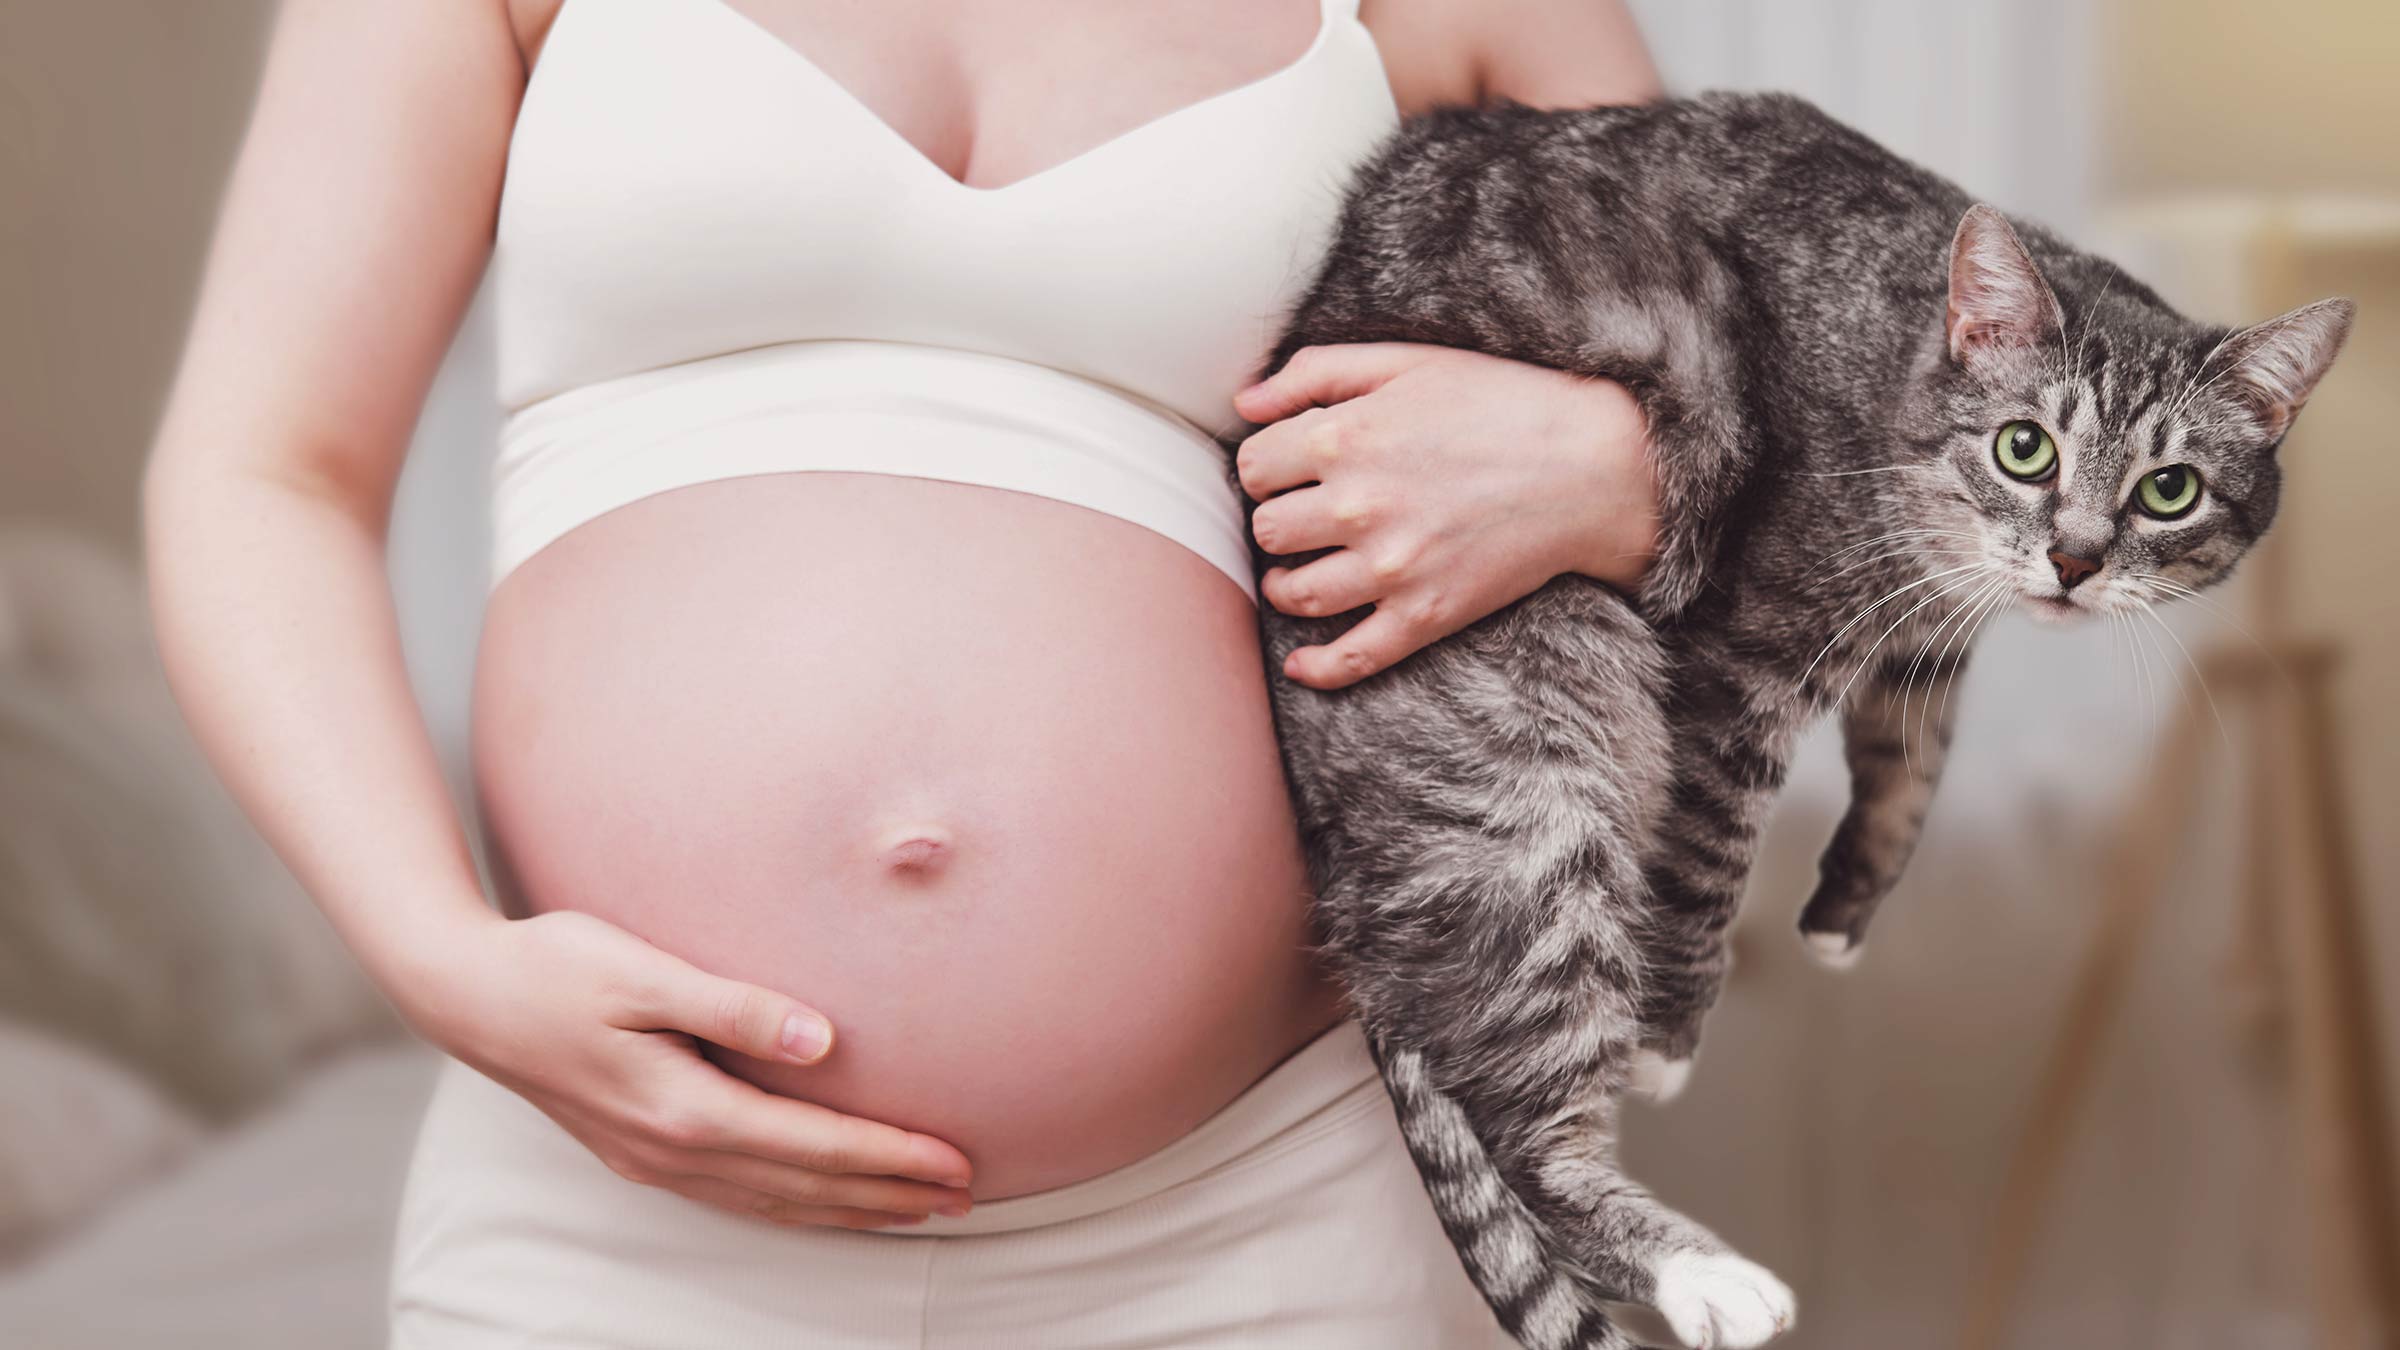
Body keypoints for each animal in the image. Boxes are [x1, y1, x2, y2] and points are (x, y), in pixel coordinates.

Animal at [1248, 94, 2352, 1345]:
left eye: (2170, 491)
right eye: (2026, 448)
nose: (2074, 560)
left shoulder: (1924, 641)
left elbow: (1914, 766)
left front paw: (1844, 908)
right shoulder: (1741, 660)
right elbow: (1710, 861)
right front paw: (1668, 1039)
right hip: (1536, 777)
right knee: (1525, 1136)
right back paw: (1708, 1276)